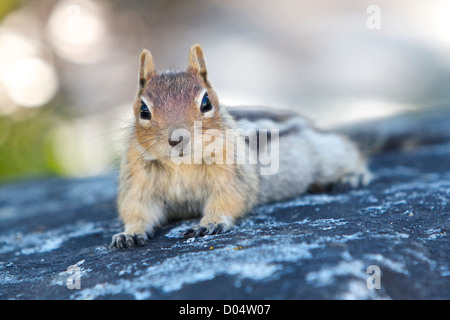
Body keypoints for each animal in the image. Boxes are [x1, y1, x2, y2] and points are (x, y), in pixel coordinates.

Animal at [110, 43, 370, 249]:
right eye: (144, 110)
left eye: (206, 102)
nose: (177, 139)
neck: (180, 164)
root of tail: (306, 121)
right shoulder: (137, 178)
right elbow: (137, 207)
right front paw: (129, 233)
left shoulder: (232, 170)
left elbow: (229, 197)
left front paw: (209, 223)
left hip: (326, 154)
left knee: (350, 153)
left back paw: (353, 176)